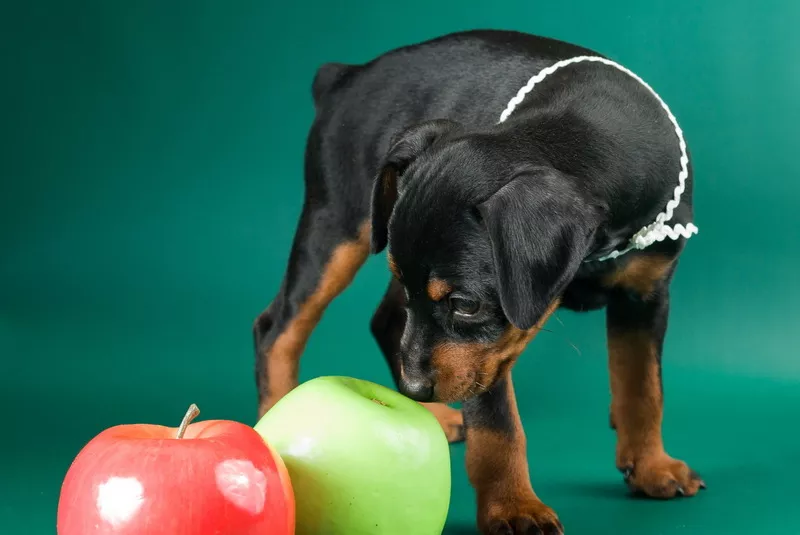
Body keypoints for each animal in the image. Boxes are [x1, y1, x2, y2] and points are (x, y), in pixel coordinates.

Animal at [253, 30, 704, 535]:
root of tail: (345, 75)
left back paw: (431, 415)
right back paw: (274, 425)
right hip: (337, 227)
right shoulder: (485, 354)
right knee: (278, 327)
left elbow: (643, 387)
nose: (414, 391)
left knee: (385, 320)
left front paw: (651, 467)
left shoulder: (644, 296)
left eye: (466, 304)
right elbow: (498, 428)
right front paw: (515, 509)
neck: (587, 131)